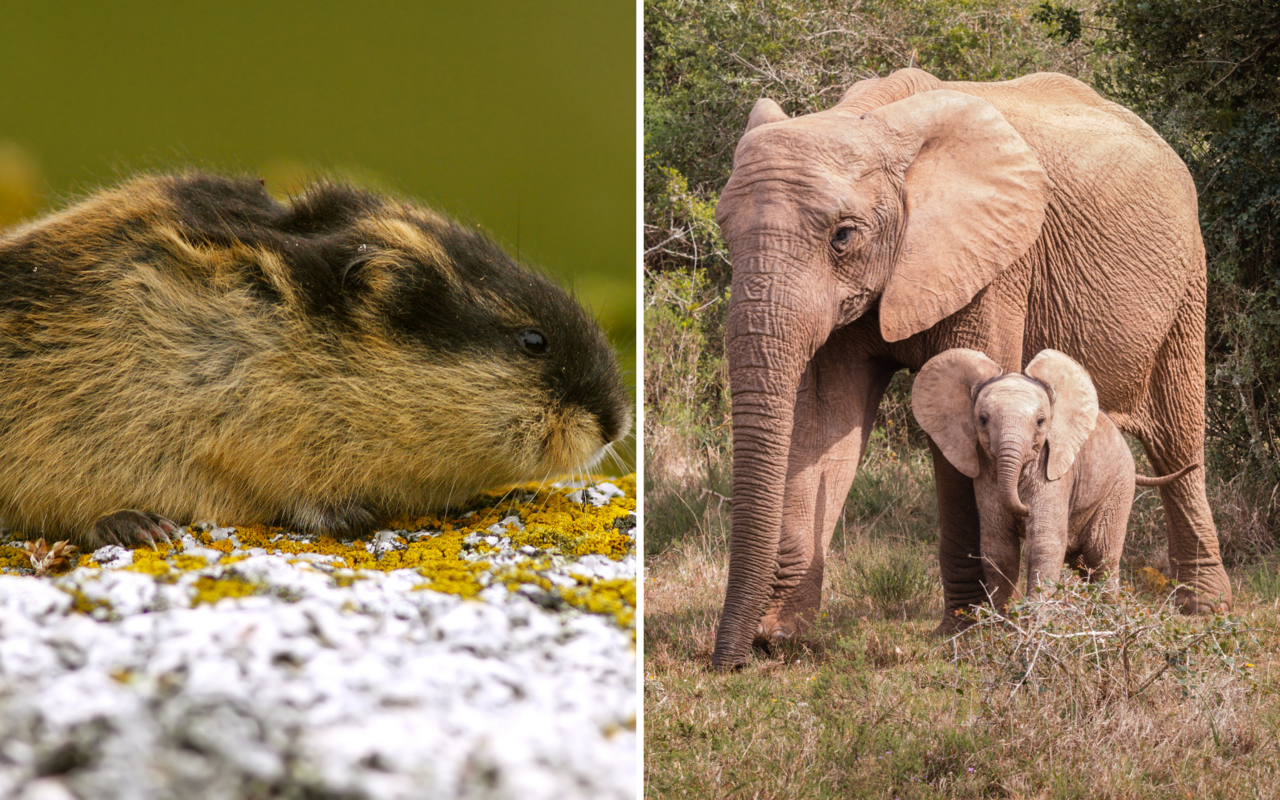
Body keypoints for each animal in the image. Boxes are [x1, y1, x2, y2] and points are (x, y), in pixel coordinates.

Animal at [916, 348, 1192, 604]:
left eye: (1040, 422)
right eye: (982, 420)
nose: (1025, 508)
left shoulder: (1055, 474)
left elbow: (1043, 543)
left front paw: (1032, 622)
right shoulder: (985, 471)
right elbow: (999, 549)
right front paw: (1001, 622)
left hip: (1118, 485)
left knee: (1101, 555)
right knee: (1081, 559)